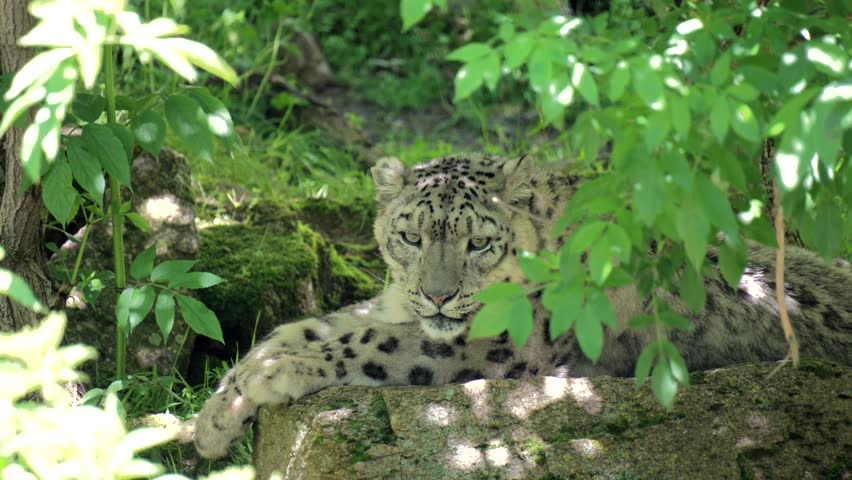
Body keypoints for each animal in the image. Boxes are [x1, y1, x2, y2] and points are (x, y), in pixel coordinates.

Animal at [195, 153, 851, 459]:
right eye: (410, 236)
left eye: (479, 242)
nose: (438, 294)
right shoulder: (393, 305)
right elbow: (306, 326)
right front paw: (216, 415)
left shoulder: (500, 344)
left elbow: (367, 342)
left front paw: (274, 378)